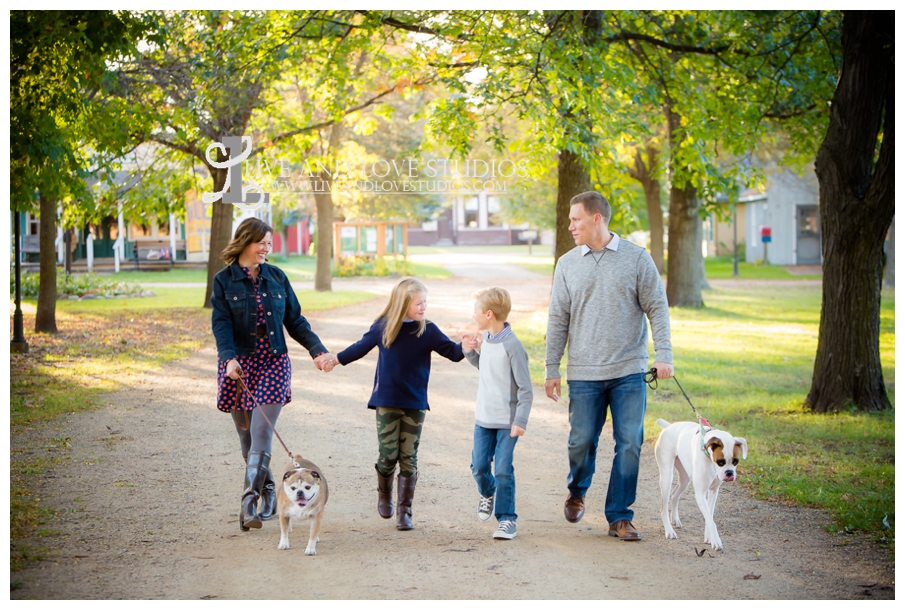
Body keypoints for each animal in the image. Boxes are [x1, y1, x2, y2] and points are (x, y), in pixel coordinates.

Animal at [652, 416, 744, 548]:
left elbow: (709, 516)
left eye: (736, 461)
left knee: (675, 495)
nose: (729, 473)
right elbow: (711, 520)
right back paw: (669, 531)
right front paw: (716, 541)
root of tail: (668, 427)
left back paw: (675, 519)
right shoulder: (700, 494)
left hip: (685, 479)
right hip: (666, 478)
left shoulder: (713, 491)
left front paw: (709, 537)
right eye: (720, 461)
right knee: (663, 508)